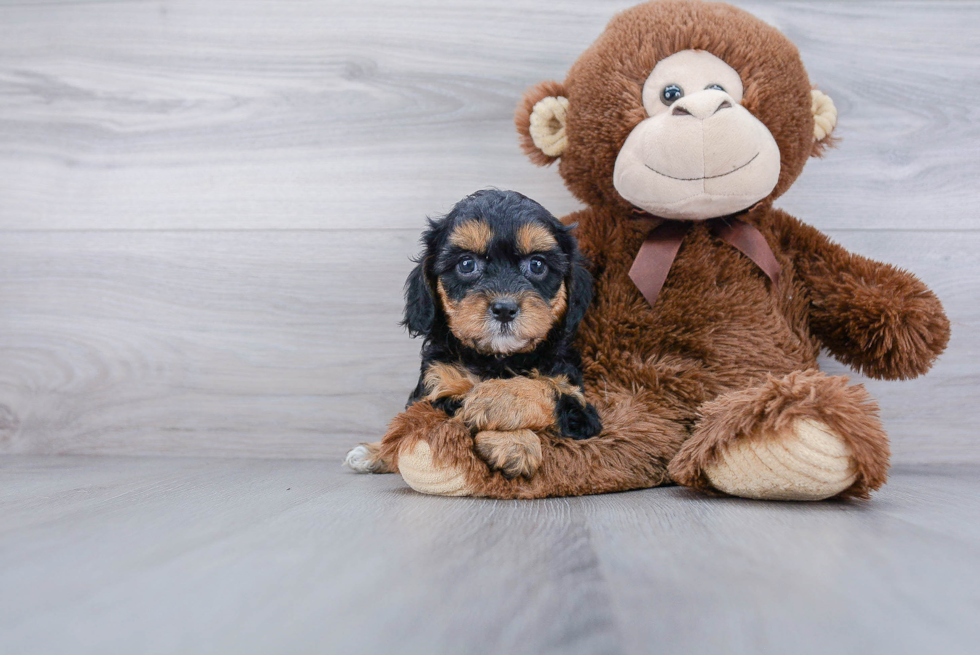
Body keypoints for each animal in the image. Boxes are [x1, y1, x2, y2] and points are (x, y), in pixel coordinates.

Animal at [344, 187, 604, 480]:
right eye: (467, 264)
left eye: (537, 265)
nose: (504, 309)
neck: (497, 358)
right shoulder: (436, 387)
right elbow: (453, 413)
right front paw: (515, 442)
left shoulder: (580, 404)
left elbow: (546, 389)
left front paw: (496, 401)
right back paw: (372, 453)